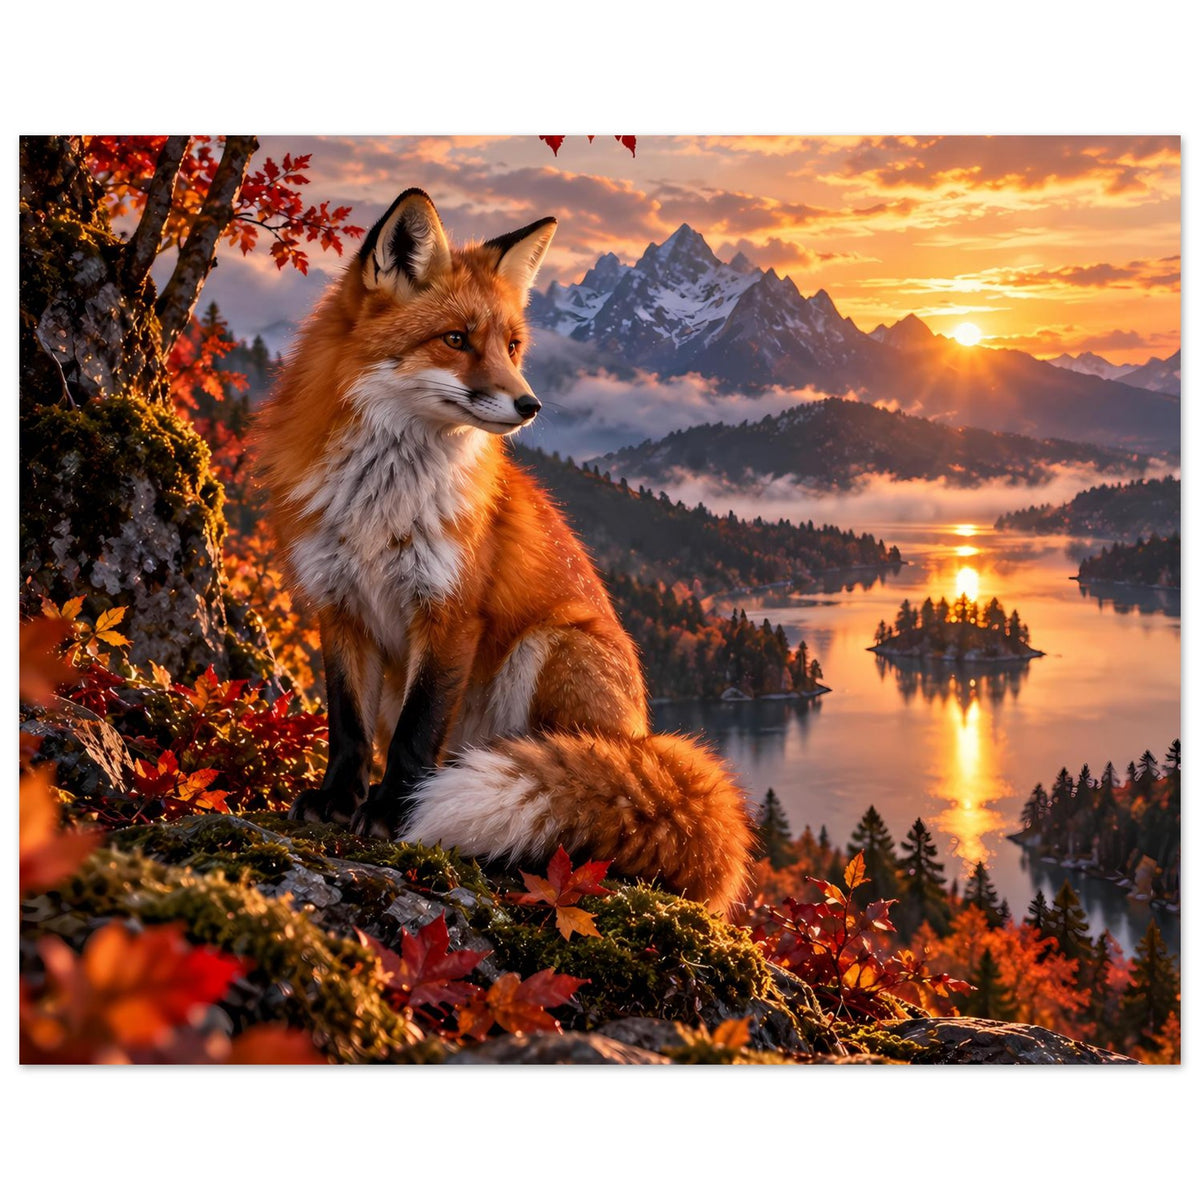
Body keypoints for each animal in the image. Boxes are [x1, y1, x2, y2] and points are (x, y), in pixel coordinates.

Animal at [255, 188, 753, 915]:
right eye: (456, 339)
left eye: (513, 345)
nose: (530, 404)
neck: (381, 503)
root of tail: (643, 738)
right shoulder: (338, 603)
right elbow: (347, 727)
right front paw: (337, 801)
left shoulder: (450, 612)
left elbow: (415, 734)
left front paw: (392, 814)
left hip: (549, 646)